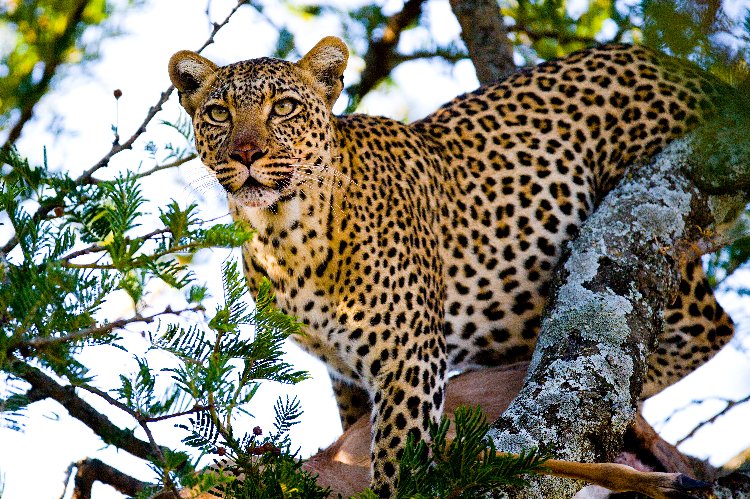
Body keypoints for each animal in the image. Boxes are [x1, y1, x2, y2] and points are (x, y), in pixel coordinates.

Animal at [168, 37, 734, 496]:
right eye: (218, 114)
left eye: (283, 108)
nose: (245, 153)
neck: (284, 239)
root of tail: (693, 72)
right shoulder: (346, 375)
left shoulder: (407, 358)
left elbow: (397, 456)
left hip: (657, 224)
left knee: (702, 335)